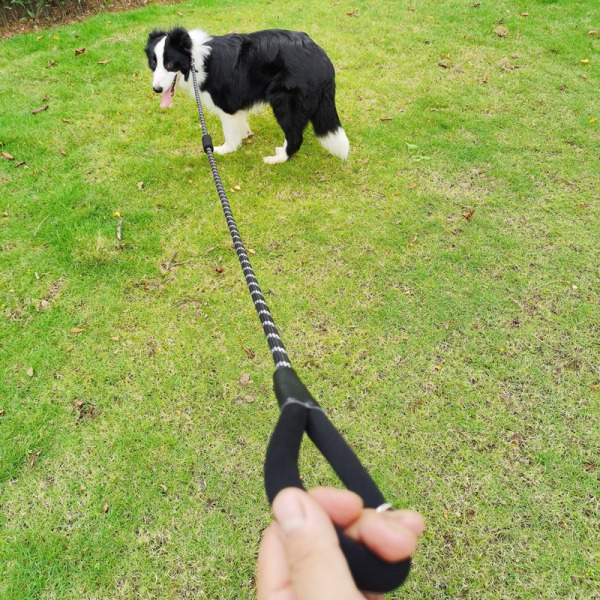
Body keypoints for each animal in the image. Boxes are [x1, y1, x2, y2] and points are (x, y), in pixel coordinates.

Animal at [145, 27, 350, 164]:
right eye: (153, 63)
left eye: (170, 64)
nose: (156, 89)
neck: (196, 60)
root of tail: (322, 59)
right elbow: (239, 123)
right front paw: (244, 134)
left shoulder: (226, 103)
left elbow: (229, 131)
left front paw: (225, 149)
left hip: (284, 101)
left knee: (295, 136)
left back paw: (277, 159)